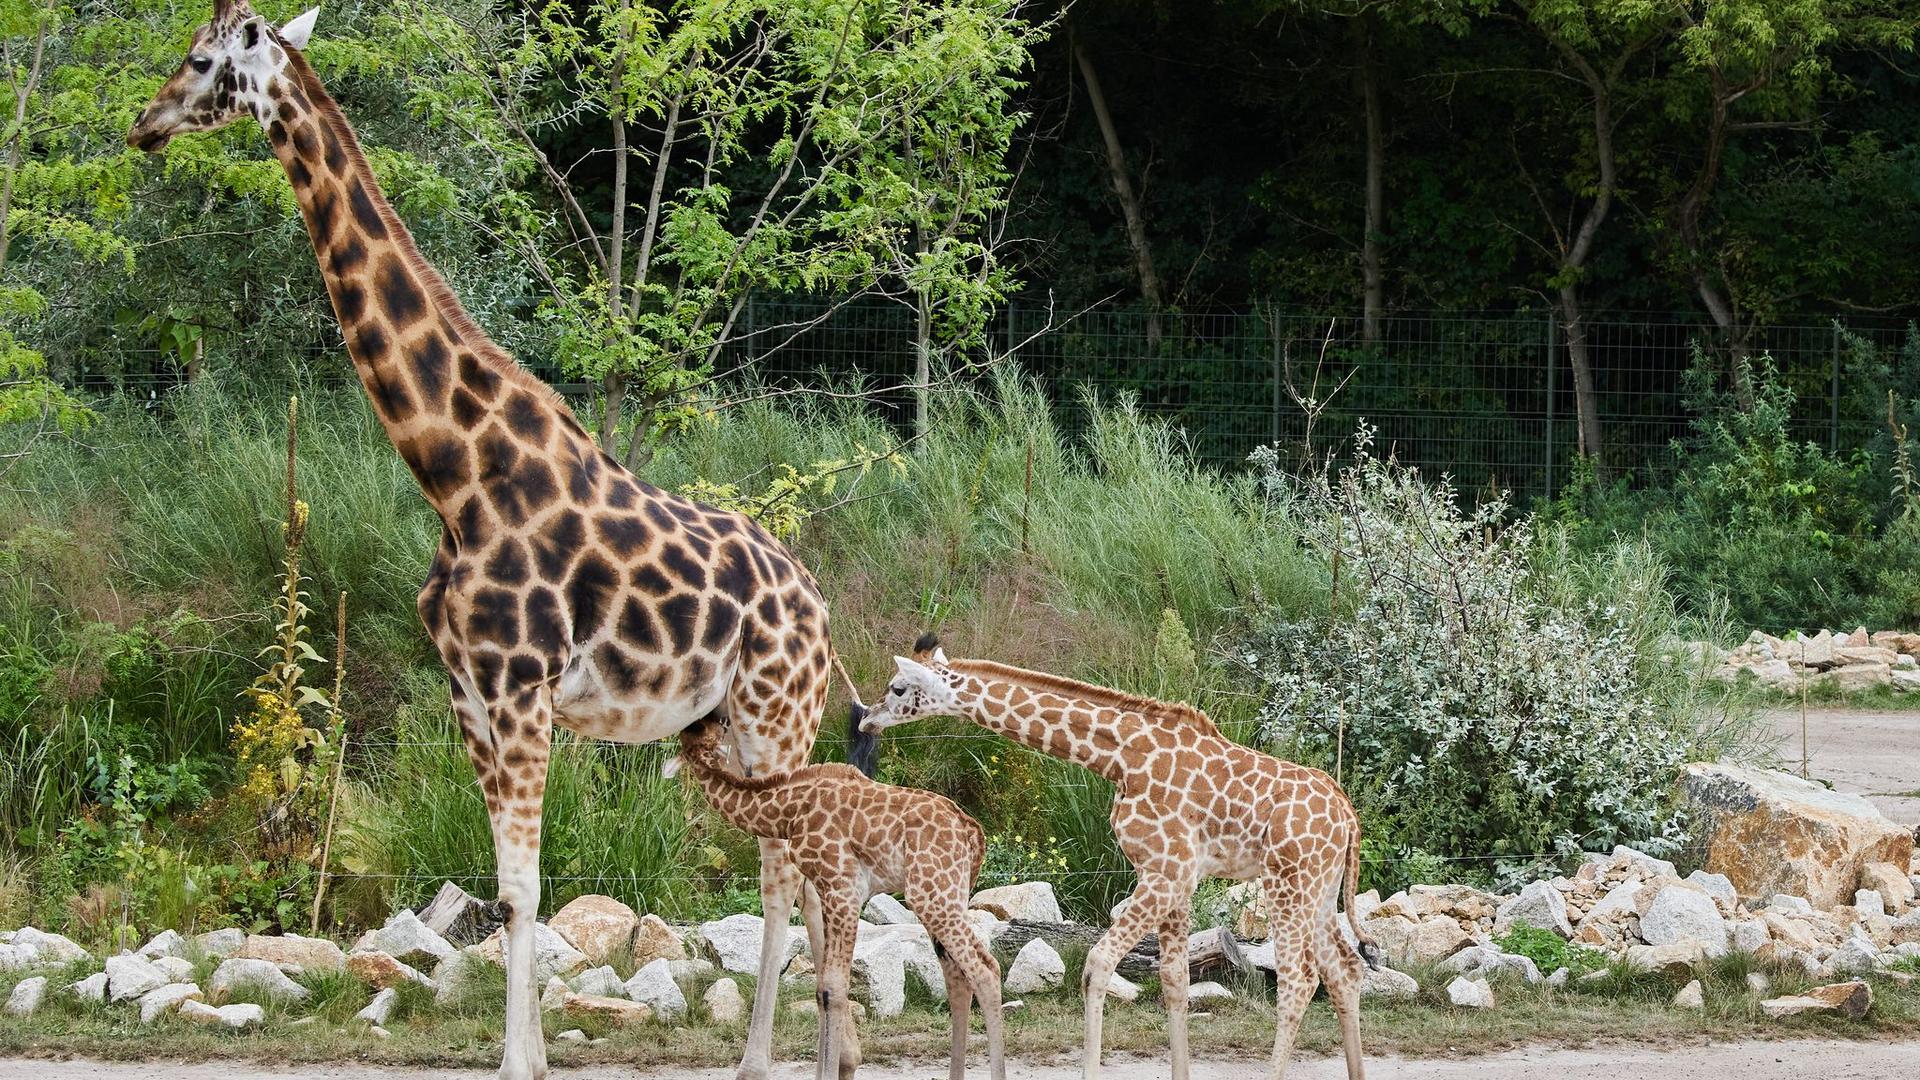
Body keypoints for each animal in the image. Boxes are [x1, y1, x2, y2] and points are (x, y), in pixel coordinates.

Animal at [125, 4, 864, 1068]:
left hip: (776, 715)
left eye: (198, 61)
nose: (143, 126)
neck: (455, 475)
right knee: (803, 876)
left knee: (781, 877)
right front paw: (533, 1055)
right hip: (730, 723)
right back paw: (833, 1053)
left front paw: (521, 1061)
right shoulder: (471, 695)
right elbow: (511, 892)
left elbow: (524, 885)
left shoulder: (519, 689)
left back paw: (763, 1061)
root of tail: (821, 607)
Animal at [668, 714, 1006, 1076]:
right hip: (944, 895)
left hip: (932, 894)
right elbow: (822, 989)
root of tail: (974, 836)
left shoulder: (842, 886)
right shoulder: (826, 888)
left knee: (986, 969)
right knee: (958, 976)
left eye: (703, 728)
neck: (787, 813)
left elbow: (834, 989)